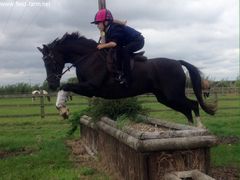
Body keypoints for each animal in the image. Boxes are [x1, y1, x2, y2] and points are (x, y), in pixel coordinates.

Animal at [37, 32, 218, 128]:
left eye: (50, 61)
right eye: (44, 62)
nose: (51, 84)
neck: (87, 57)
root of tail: (178, 62)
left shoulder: (91, 87)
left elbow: (66, 86)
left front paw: (63, 109)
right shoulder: (88, 89)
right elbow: (66, 88)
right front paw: (62, 109)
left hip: (173, 95)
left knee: (193, 105)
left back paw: (200, 129)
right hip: (165, 98)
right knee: (187, 109)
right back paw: (191, 129)